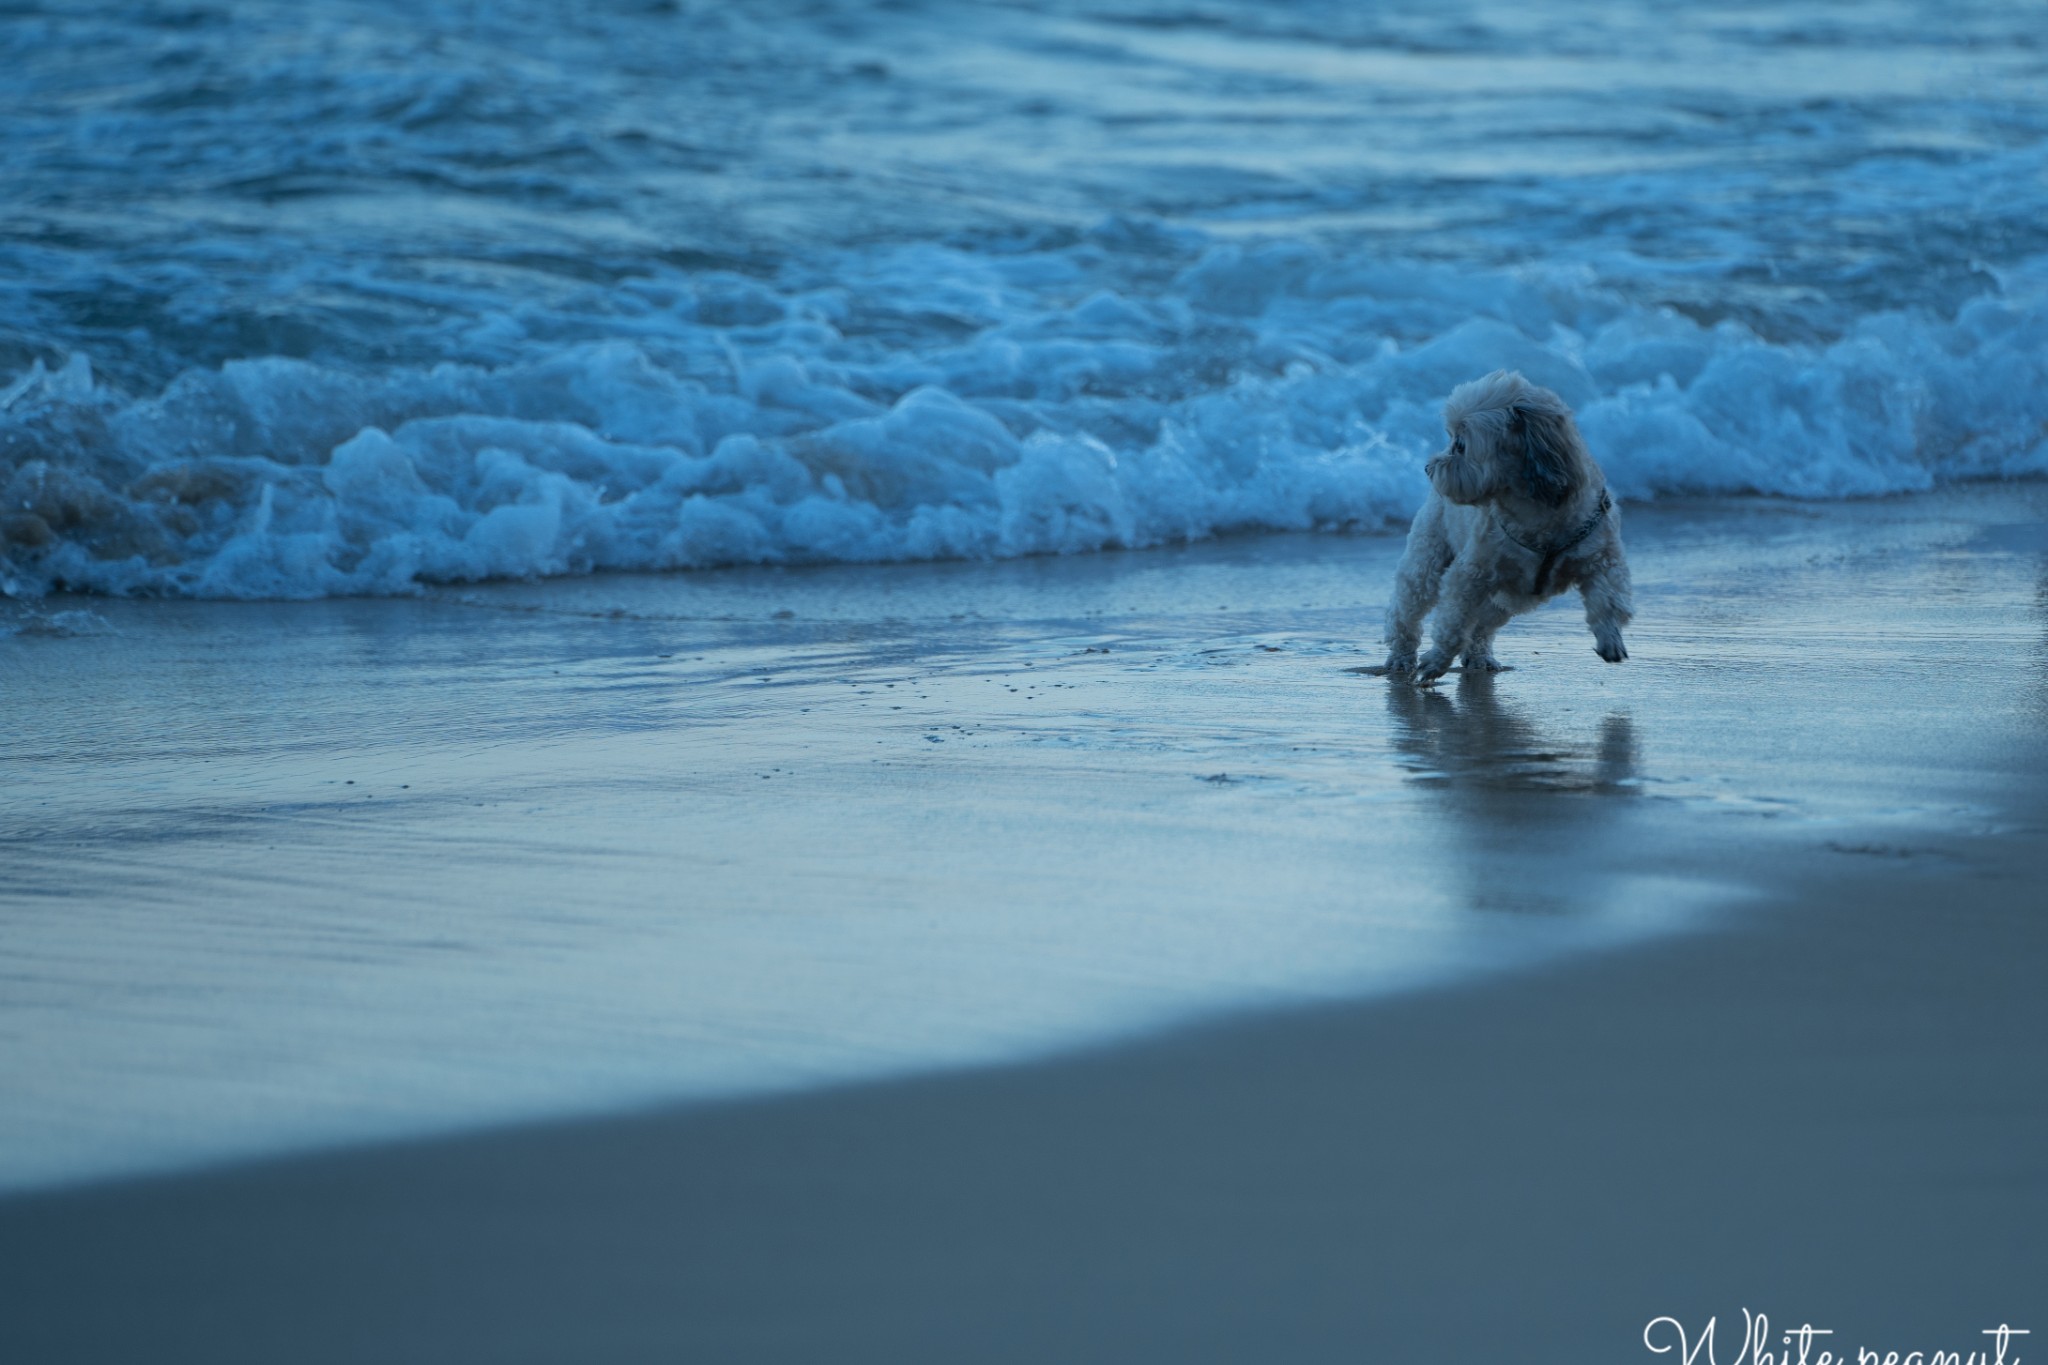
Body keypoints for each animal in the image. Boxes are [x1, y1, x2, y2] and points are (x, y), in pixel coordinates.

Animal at [1384, 368, 1638, 683]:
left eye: (1461, 445)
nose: (1429, 468)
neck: (1537, 511)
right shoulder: (1470, 576)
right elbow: (1453, 623)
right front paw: (1436, 661)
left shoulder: (1601, 557)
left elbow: (1608, 599)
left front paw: (1610, 638)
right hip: (1427, 558)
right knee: (1407, 609)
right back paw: (1401, 656)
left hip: (1508, 598)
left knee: (1482, 625)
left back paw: (1479, 657)